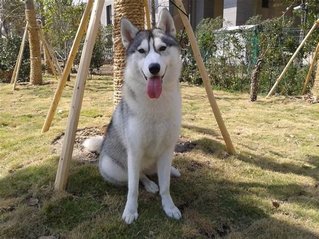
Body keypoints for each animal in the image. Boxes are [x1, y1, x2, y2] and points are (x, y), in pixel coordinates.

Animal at [83, 8, 182, 224]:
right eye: (142, 51)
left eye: (162, 48)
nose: (154, 68)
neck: (155, 105)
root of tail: (102, 147)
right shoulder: (135, 151)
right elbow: (133, 187)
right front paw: (130, 210)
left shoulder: (167, 148)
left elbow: (166, 186)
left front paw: (169, 206)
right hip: (112, 165)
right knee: (138, 176)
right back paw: (149, 183)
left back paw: (170, 171)